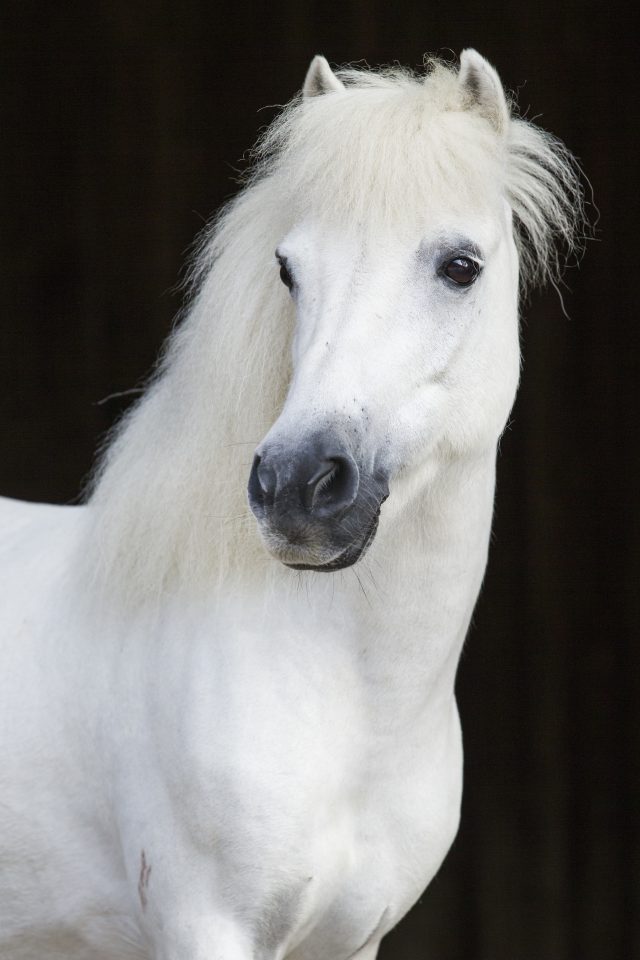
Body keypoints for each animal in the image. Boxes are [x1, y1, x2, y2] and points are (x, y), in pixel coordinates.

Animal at [0, 52, 580, 960]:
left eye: (460, 266)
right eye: (288, 270)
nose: (296, 487)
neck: (356, 709)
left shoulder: (350, 941)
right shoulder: (208, 928)